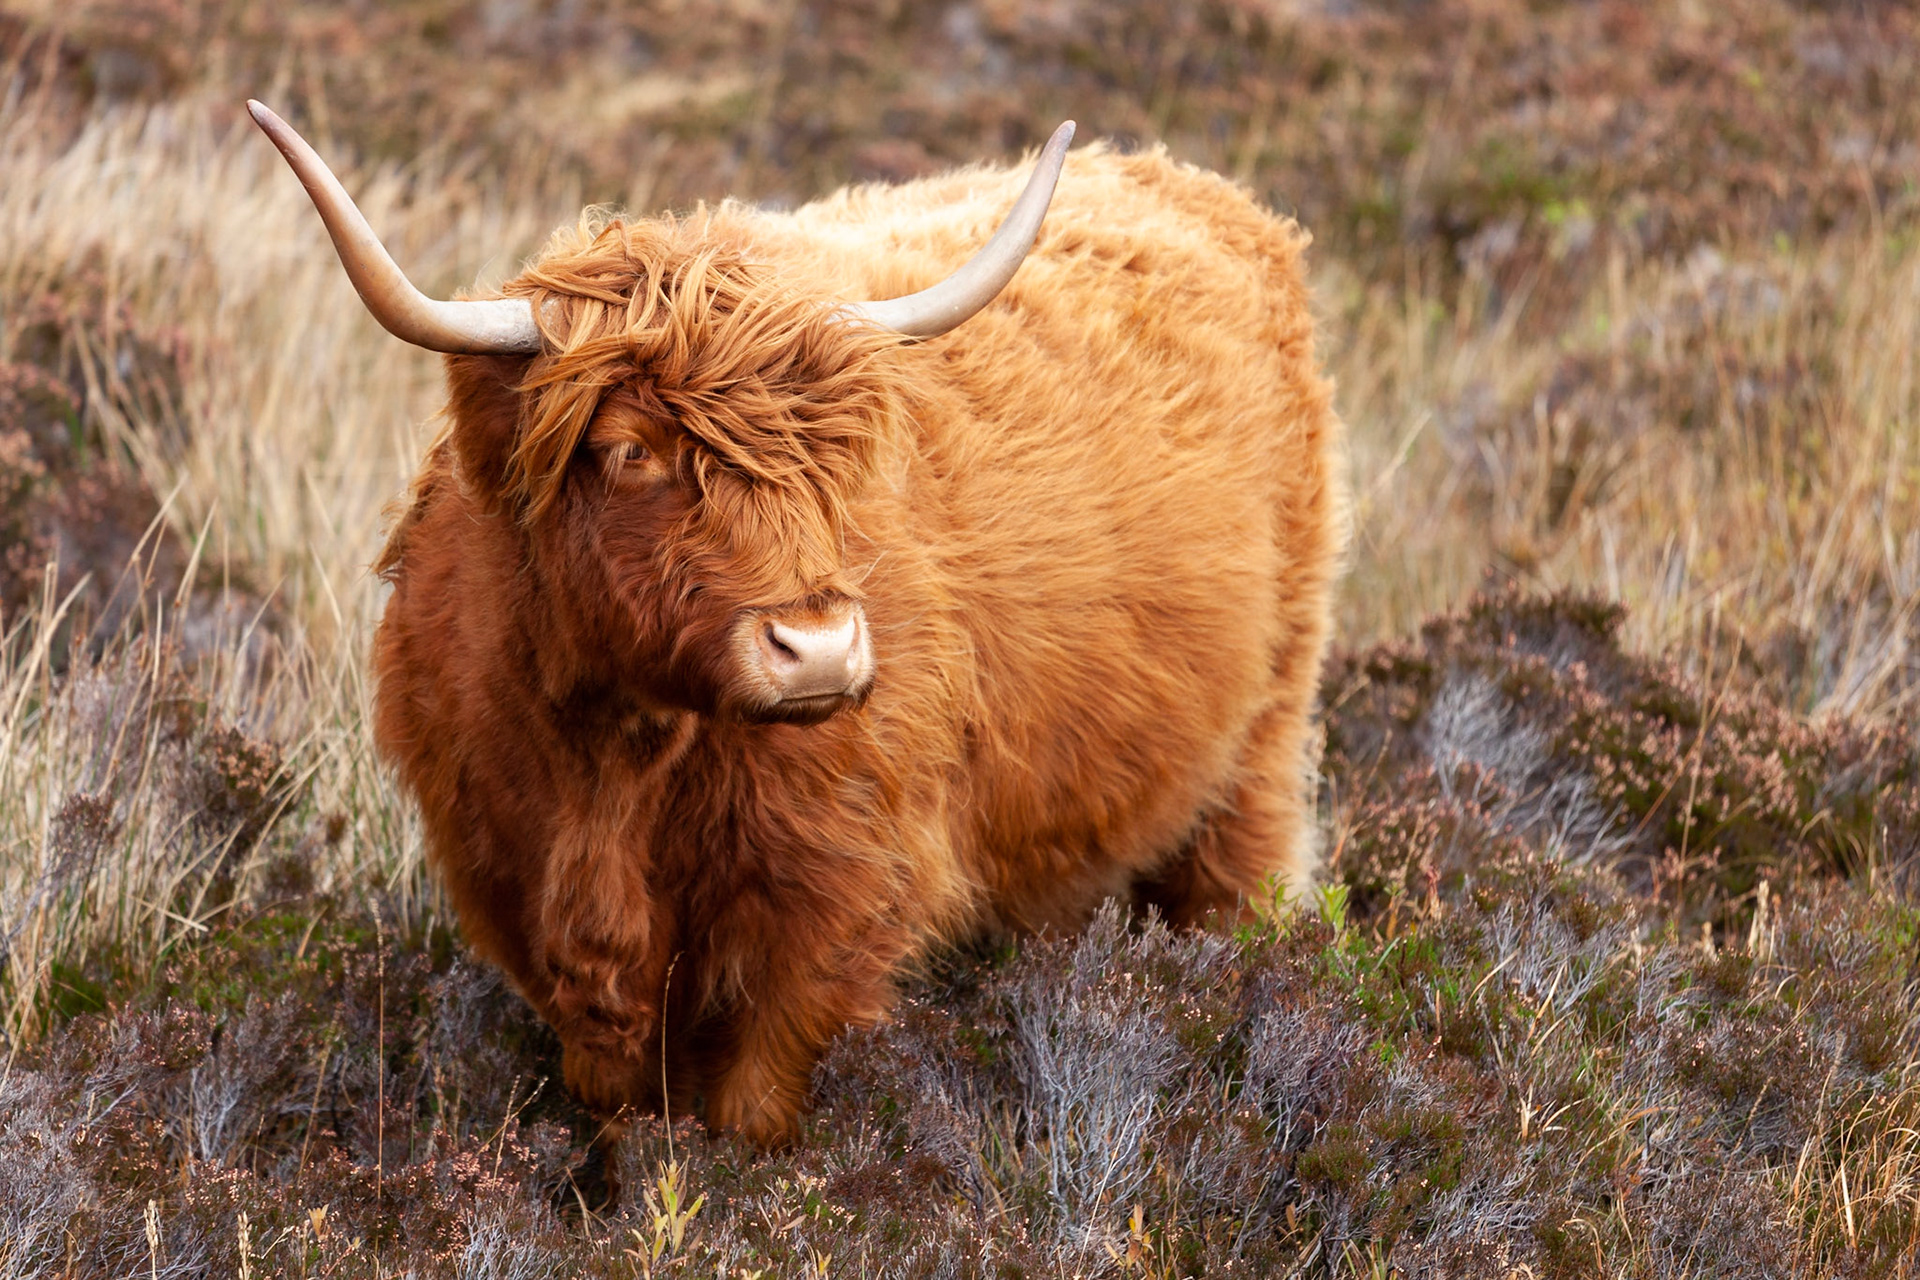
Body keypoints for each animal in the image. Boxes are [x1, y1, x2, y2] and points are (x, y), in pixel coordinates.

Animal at [250, 100, 1345, 1152]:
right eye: (630, 449)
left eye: (833, 454)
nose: (818, 651)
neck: (614, 764)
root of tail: (1203, 190)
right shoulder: (518, 895)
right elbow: (619, 1122)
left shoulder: (836, 903)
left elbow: (759, 1115)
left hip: (1258, 749)